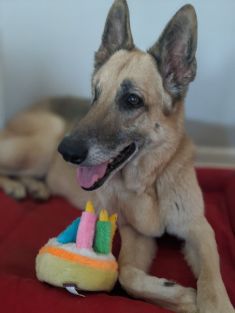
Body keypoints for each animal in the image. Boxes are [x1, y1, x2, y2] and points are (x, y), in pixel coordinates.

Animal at [0, 1, 234, 310]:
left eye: (132, 100)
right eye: (95, 94)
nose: (66, 152)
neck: (149, 182)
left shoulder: (199, 228)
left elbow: (211, 279)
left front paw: (213, 303)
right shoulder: (135, 235)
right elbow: (127, 275)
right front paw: (182, 297)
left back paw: (33, 187)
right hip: (42, 142)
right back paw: (17, 185)